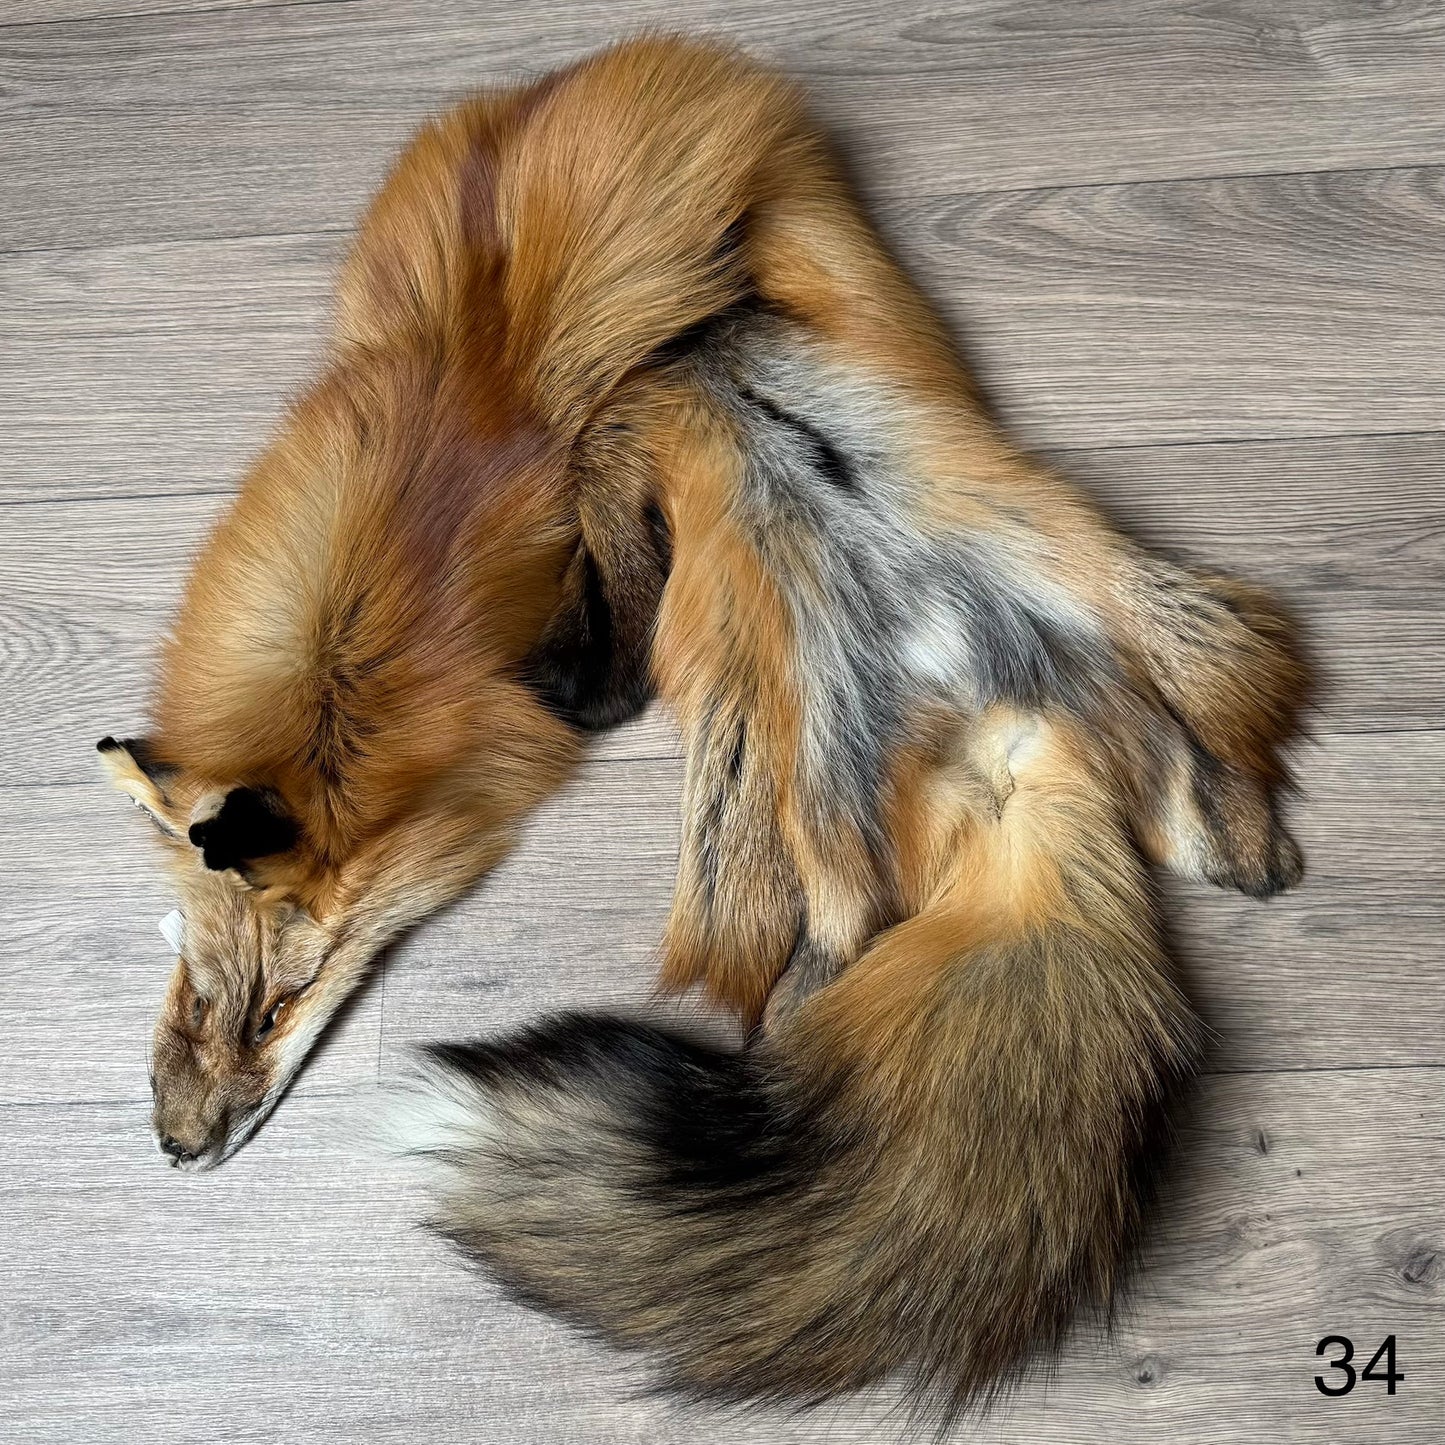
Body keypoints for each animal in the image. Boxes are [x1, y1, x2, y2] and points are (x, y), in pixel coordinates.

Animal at [100, 37, 1308, 1418]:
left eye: (282, 1002)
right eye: (197, 985)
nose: (177, 1144)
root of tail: (997, 734)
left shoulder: (635, 412)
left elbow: (607, 586)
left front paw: (580, 668)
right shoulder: (646, 403)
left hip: (801, 774)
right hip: (1101, 664)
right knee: (1182, 785)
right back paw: (1244, 842)